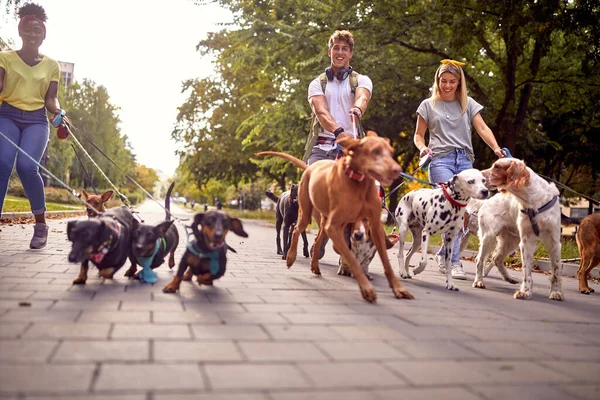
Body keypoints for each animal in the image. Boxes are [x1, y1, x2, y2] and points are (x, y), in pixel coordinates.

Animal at [255, 131, 414, 304]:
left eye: (391, 152)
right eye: (375, 151)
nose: (397, 170)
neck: (359, 183)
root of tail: (312, 166)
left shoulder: (375, 226)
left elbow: (385, 262)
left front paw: (399, 289)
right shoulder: (336, 228)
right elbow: (352, 259)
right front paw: (366, 288)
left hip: (324, 222)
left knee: (317, 240)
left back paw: (315, 266)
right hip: (306, 214)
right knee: (296, 230)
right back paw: (290, 257)